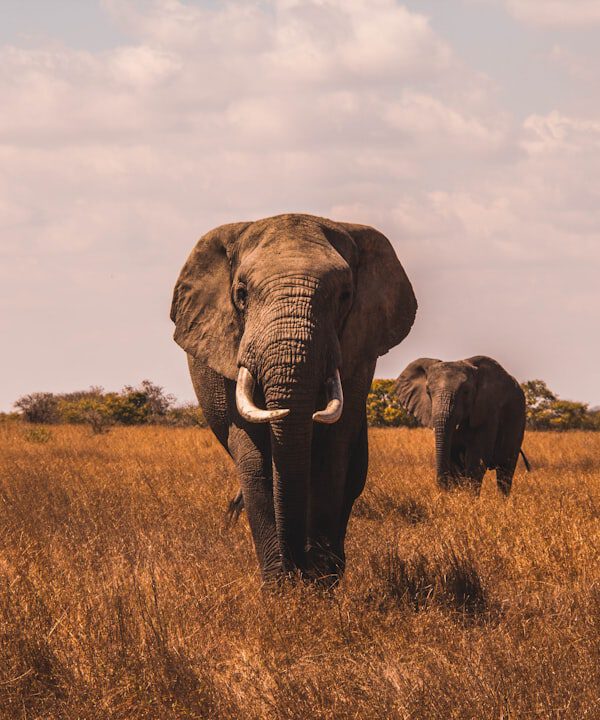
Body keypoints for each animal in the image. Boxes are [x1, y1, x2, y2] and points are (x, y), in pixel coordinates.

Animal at [171, 214, 417, 583]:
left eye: (345, 295)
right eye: (241, 294)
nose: (299, 567)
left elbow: (333, 453)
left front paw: (320, 582)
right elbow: (255, 458)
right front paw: (280, 586)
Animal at [394, 356, 529, 496]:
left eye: (466, 392)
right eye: (428, 392)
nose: (442, 490)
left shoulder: (489, 411)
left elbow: (477, 460)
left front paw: (469, 499)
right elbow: (455, 461)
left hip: (518, 420)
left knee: (505, 470)